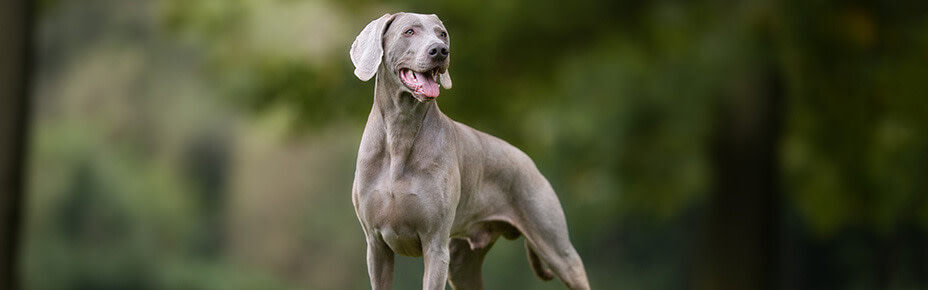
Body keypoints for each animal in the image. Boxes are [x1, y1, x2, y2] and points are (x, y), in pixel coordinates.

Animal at [352, 12, 592, 288]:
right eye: (409, 31)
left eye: (442, 34)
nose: (440, 50)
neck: (400, 133)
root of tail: (528, 160)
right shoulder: (376, 246)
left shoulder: (435, 245)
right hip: (461, 263)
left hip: (556, 246)